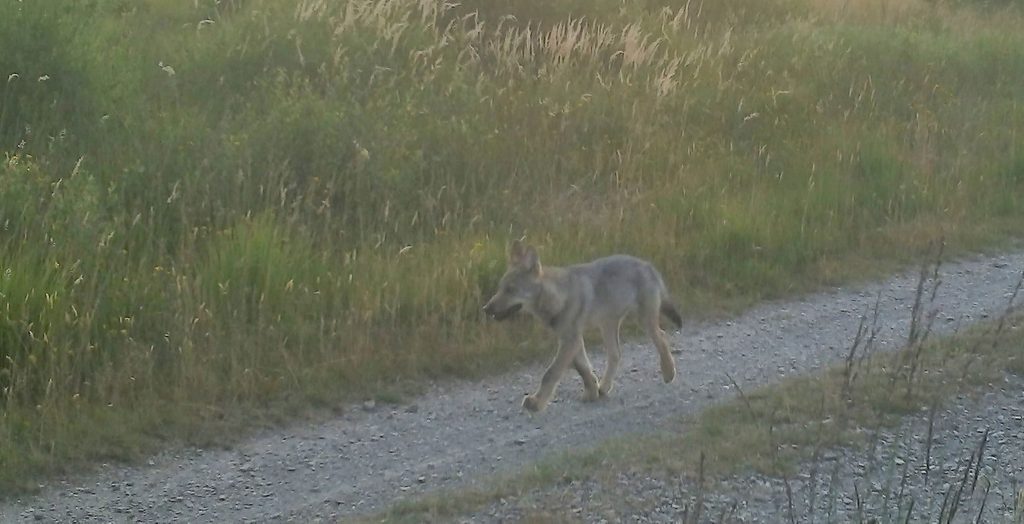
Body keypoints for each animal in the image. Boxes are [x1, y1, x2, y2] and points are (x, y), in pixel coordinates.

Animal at [483, 239, 684, 411]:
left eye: (510, 290)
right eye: (500, 288)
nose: (486, 308)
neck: (557, 298)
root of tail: (648, 265)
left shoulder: (570, 340)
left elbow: (551, 373)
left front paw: (536, 403)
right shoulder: (572, 339)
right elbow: (583, 369)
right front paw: (592, 392)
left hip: (643, 321)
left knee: (662, 337)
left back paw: (668, 373)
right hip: (608, 326)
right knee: (616, 354)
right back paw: (604, 387)